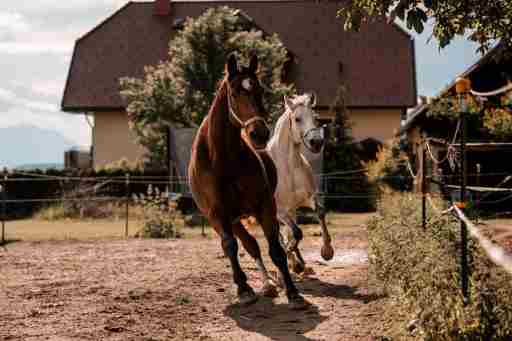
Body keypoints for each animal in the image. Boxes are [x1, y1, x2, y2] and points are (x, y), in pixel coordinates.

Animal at [188, 54, 304, 306]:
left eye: (261, 90)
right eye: (234, 93)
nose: (259, 134)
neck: (222, 160)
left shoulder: (265, 206)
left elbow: (276, 249)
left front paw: (292, 292)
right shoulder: (218, 215)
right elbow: (231, 247)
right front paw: (243, 289)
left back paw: (273, 283)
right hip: (231, 220)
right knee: (249, 245)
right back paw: (266, 285)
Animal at [266, 93, 334, 274]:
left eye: (316, 118)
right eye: (297, 119)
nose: (316, 143)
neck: (288, 167)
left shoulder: (307, 199)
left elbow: (320, 212)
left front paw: (327, 251)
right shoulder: (279, 211)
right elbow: (297, 233)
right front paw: (292, 259)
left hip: (292, 210)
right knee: (281, 235)